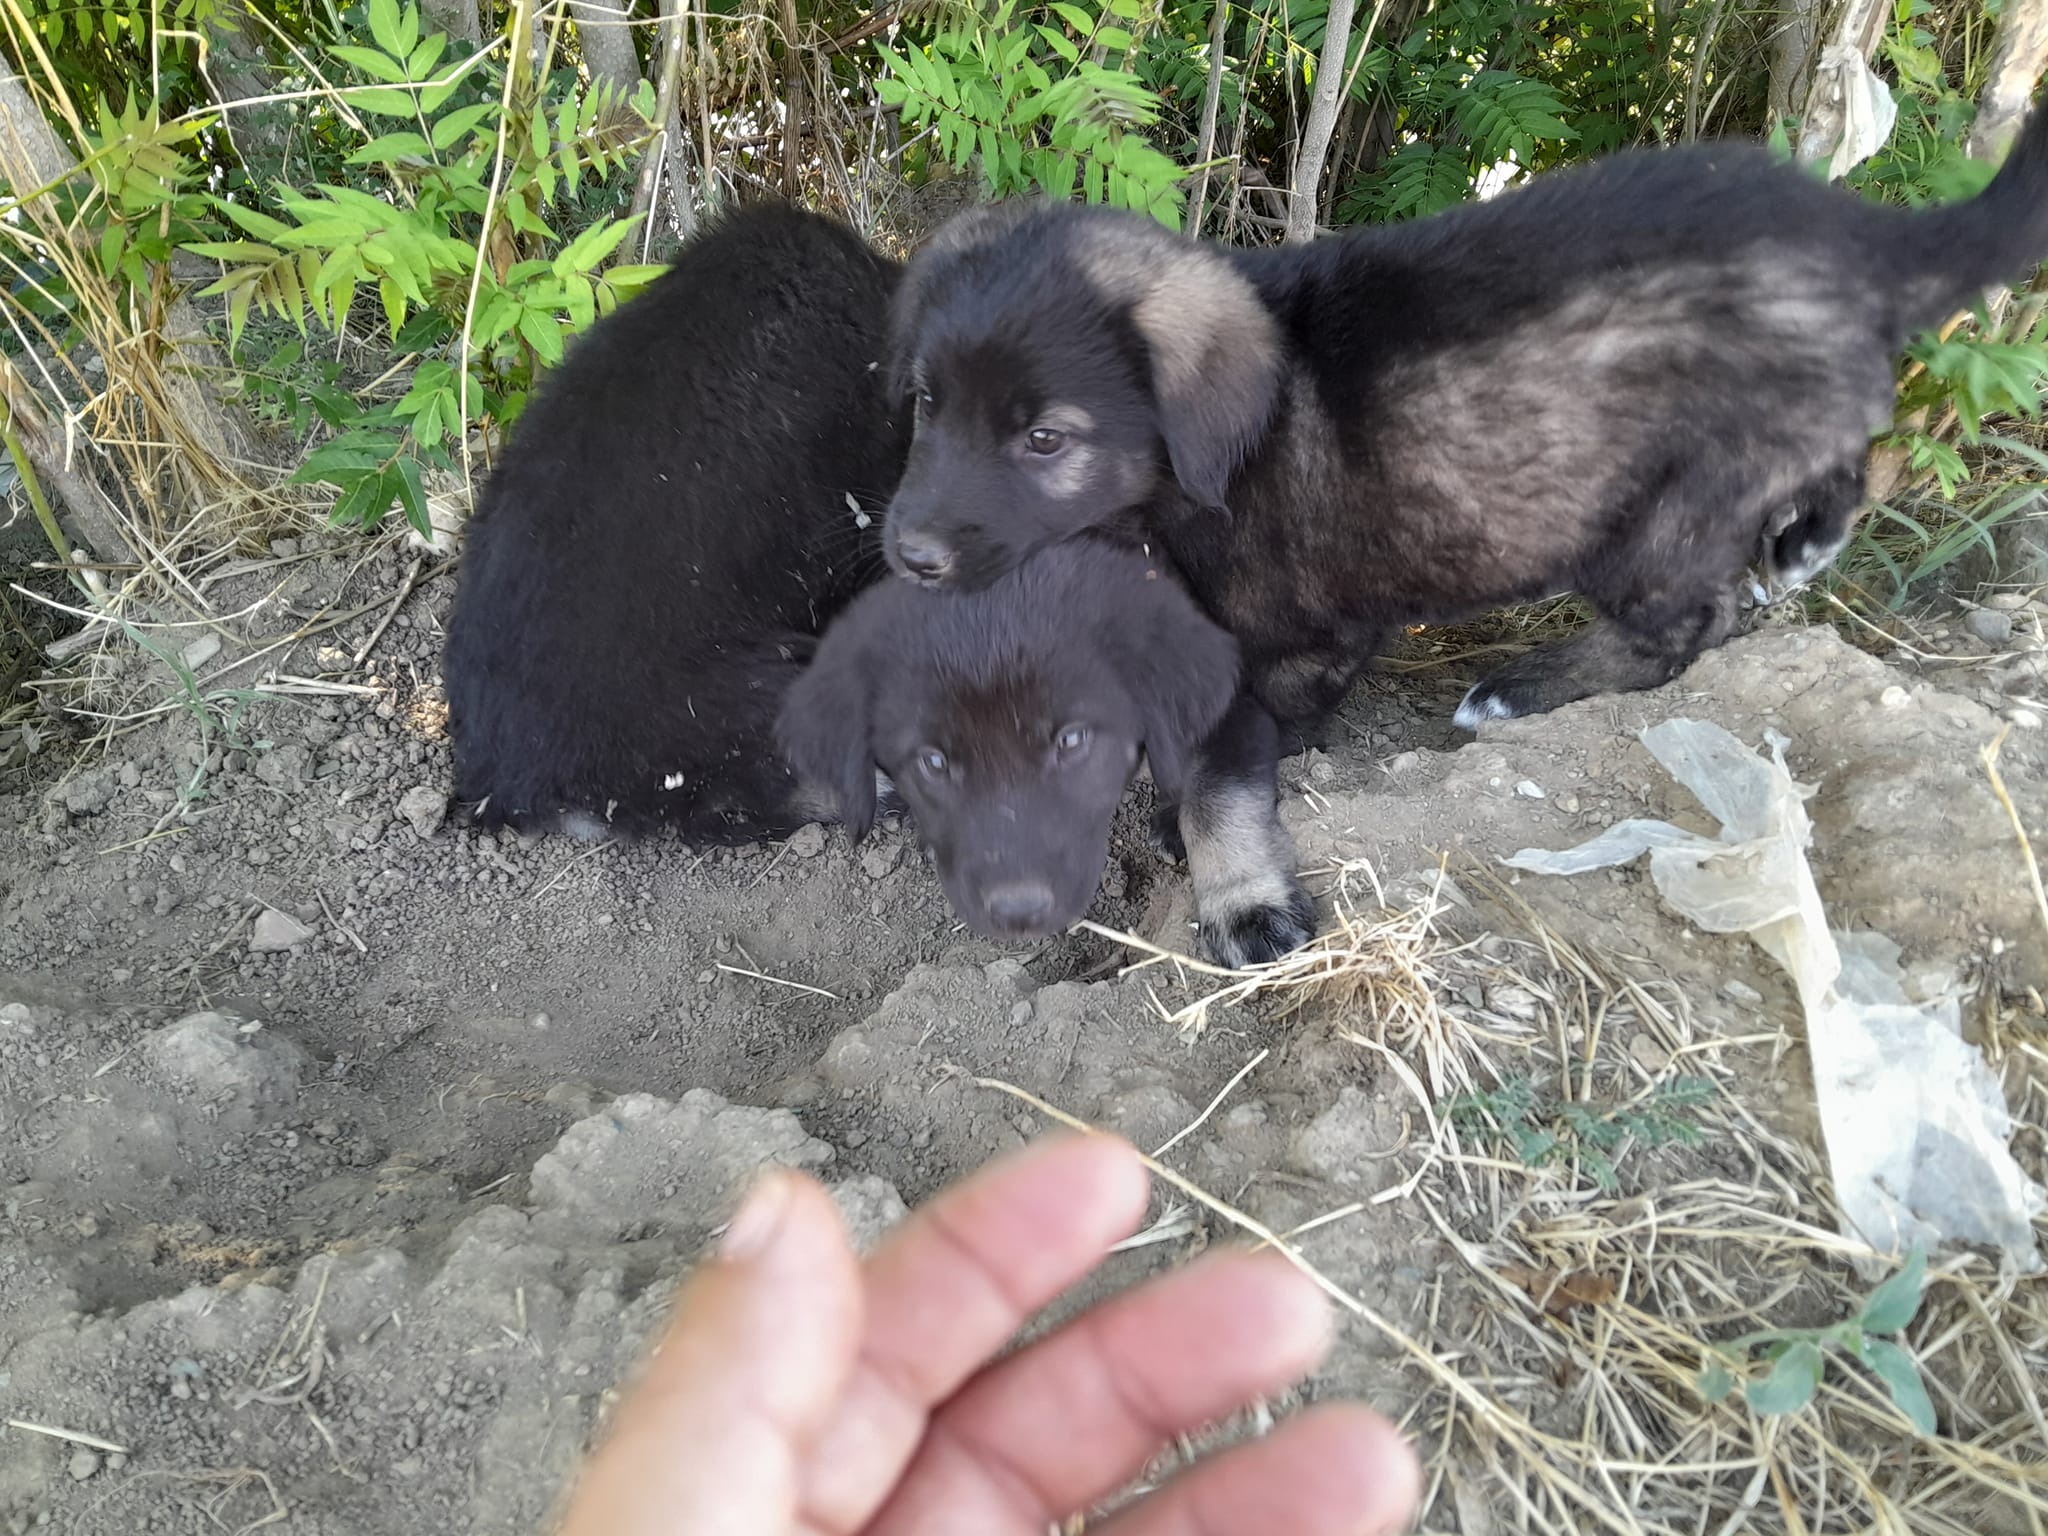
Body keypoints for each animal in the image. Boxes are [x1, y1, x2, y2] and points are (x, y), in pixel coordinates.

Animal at [888, 105, 2048, 737]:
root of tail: (1862, 239)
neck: (1209, 459)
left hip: (1652, 519)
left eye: (1045, 440)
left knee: (1685, 625)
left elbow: (1262, 711)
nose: (905, 555)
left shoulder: (1307, 636)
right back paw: (1811, 534)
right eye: (927, 404)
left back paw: (1520, 690)